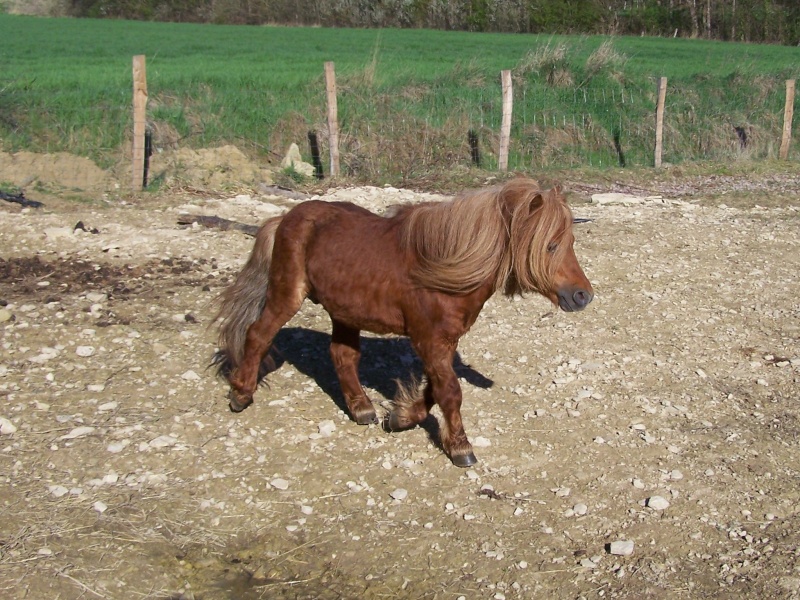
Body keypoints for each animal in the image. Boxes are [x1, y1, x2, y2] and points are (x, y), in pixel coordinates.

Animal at [216, 176, 592, 466]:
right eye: (550, 245)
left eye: (570, 241)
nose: (583, 296)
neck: (444, 267)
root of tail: (284, 218)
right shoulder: (428, 340)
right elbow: (450, 392)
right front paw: (460, 447)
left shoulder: (443, 342)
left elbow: (435, 390)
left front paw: (400, 418)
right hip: (286, 296)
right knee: (258, 335)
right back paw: (240, 394)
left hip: (345, 311)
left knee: (342, 355)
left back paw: (361, 408)